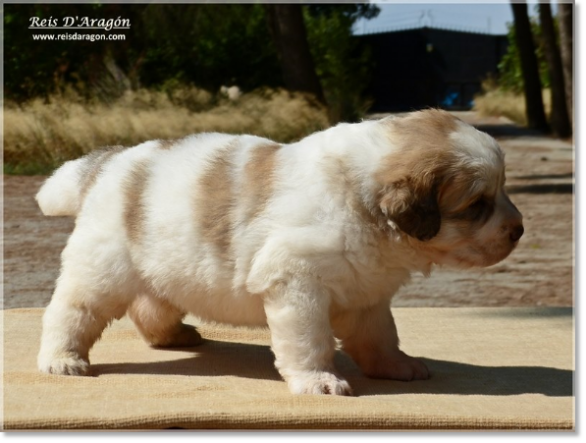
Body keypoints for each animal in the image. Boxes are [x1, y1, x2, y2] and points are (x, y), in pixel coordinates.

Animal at [35, 110, 520, 396]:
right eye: (477, 206)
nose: (518, 230)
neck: (360, 202)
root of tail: (108, 163)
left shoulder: (368, 294)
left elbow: (380, 336)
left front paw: (394, 366)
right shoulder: (298, 285)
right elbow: (310, 341)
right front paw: (318, 380)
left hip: (161, 267)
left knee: (149, 305)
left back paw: (172, 336)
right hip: (100, 270)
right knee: (71, 313)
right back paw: (63, 359)